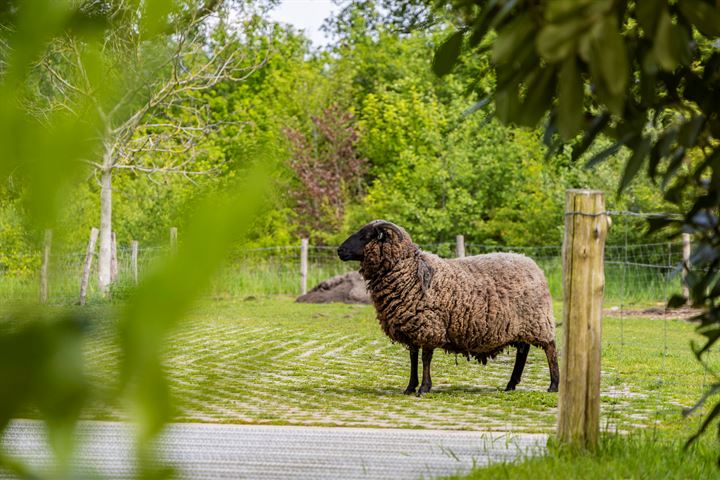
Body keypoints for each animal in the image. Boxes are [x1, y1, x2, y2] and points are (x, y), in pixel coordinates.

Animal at [334, 219, 560, 396]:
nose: (339, 250)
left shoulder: (428, 325)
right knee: (523, 351)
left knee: (550, 349)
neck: (409, 272)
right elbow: (413, 358)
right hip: (520, 324)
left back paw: (553, 385)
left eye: (365, 236)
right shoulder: (412, 326)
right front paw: (409, 387)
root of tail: (531, 263)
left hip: (538, 320)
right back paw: (511, 385)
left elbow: (425, 358)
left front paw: (423, 388)